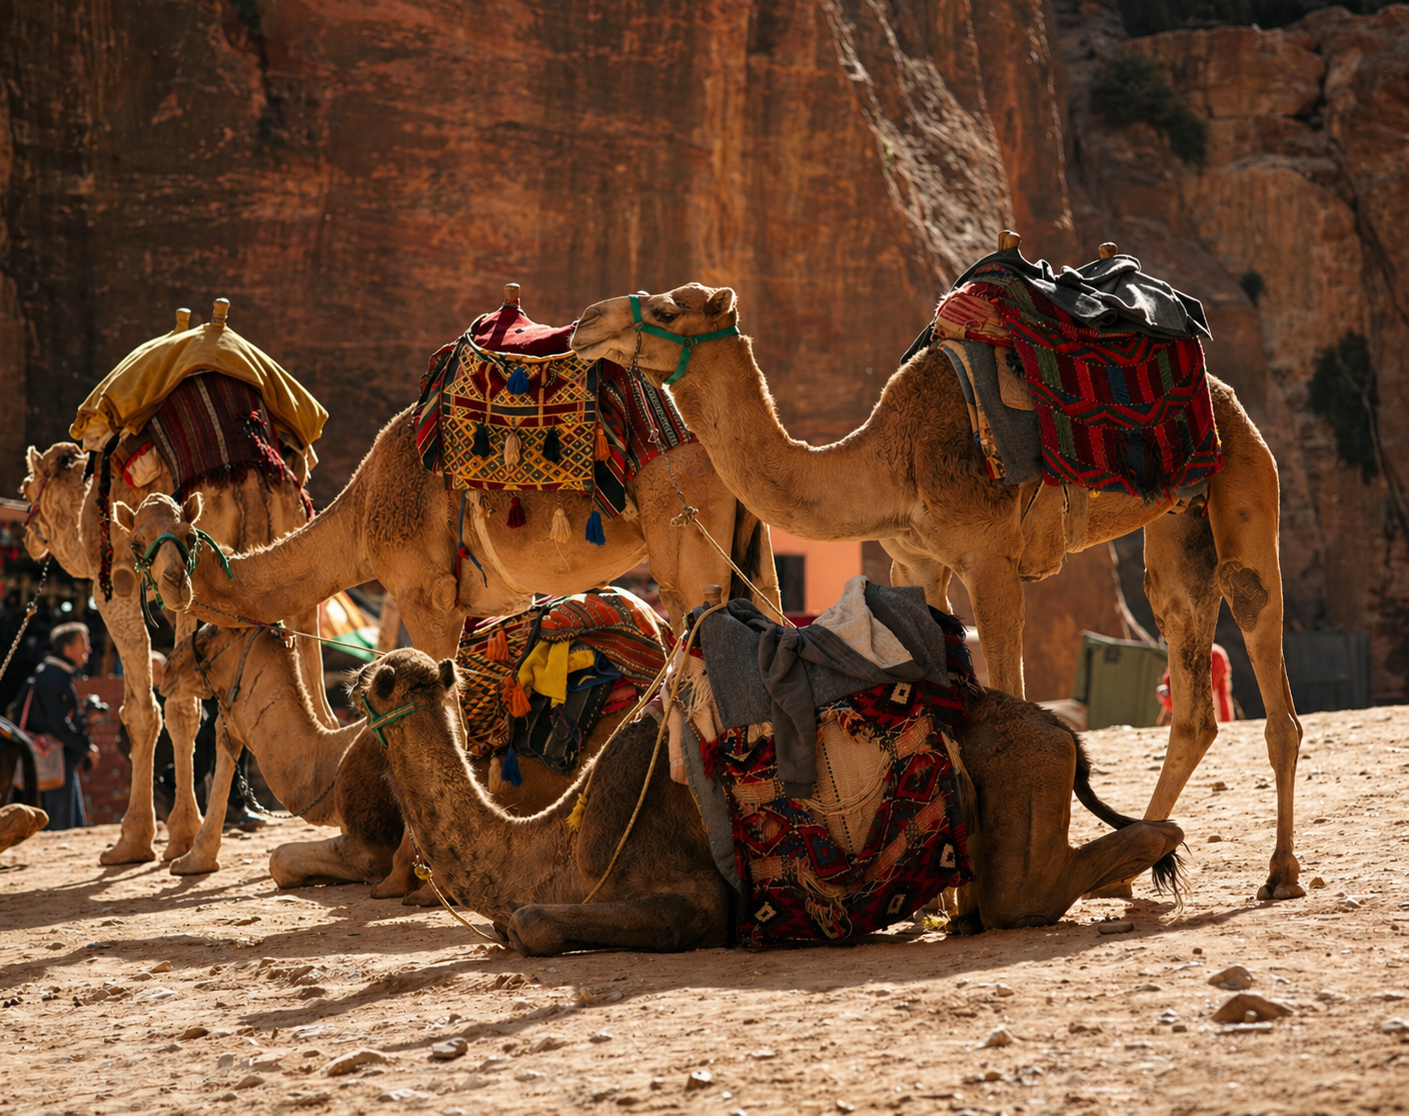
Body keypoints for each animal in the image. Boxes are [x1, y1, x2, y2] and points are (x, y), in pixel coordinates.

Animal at [21, 441, 329, 867]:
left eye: (25, 488)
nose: (28, 536)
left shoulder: (113, 585)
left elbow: (145, 710)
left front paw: (138, 839)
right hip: (291, 562)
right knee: (314, 694)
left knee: (187, 703)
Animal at [360, 648, 1182, 953]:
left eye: (378, 680)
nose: (352, 678)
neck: (556, 840)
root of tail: (1062, 731)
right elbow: (513, 921)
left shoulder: (691, 895)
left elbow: (529, 923)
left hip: (1021, 775)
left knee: (1025, 895)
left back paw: (1159, 850)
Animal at [570, 281, 1304, 903]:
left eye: (668, 311)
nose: (584, 323)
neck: (889, 462)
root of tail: (1222, 392)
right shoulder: (914, 564)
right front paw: (944, 890)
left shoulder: (990, 561)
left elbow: (1010, 690)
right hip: (1177, 527)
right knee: (1189, 683)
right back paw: (1132, 870)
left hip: (1244, 480)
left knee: (1264, 650)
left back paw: (1280, 874)